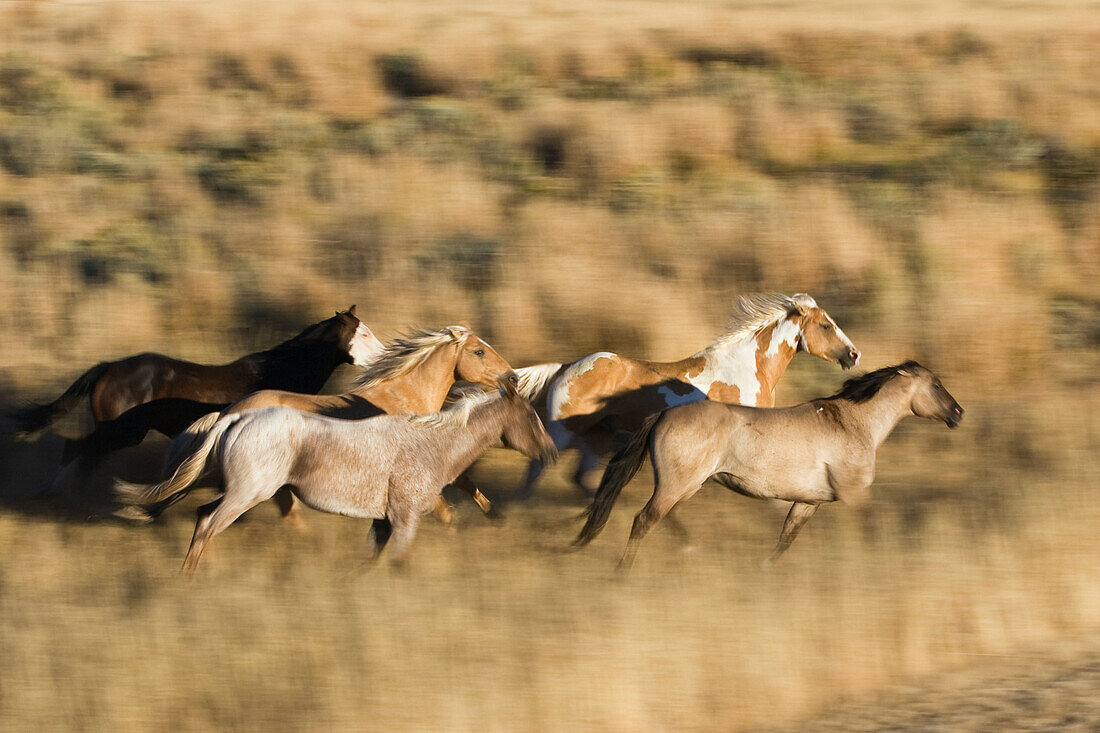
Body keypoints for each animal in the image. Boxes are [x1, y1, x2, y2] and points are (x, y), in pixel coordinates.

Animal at [118, 376, 558, 572]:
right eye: (531, 417)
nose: (551, 453)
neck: (432, 443)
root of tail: (237, 417)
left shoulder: (383, 521)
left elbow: (369, 562)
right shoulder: (405, 518)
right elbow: (399, 563)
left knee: (200, 515)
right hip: (246, 495)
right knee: (208, 523)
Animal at [128, 325, 519, 526]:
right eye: (479, 351)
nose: (512, 377)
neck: (402, 396)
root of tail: (231, 414)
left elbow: (465, 484)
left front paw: (495, 514)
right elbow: (448, 499)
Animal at [514, 290, 858, 497]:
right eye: (826, 326)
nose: (854, 354)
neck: (746, 368)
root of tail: (566, 367)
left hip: (597, 436)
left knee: (579, 478)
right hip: (563, 430)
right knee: (535, 469)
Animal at [576, 358, 963, 563]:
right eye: (937, 385)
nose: (958, 413)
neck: (855, 423)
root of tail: (663, 414)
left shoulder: (808, 503)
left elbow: (783, 542)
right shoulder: (854, 495)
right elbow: (869, 532)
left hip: (688, 486)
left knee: (662, 518)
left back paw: (689, 549)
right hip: (676, 485)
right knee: (644, 520)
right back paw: (624, 573)